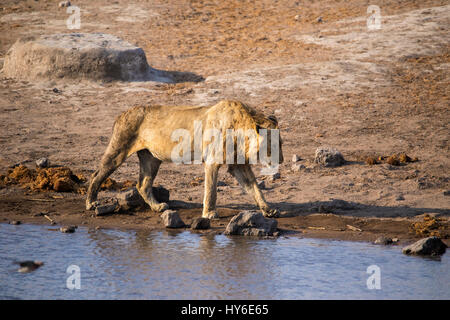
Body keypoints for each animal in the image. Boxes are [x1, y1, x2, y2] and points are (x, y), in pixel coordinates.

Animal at [87, 100, 284, 220]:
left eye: (281, 143)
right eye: (274, 145)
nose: (281, 160)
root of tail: (121, 114)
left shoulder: (238, 164)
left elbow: (254, 188)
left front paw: (268, 209)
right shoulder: (212, 161)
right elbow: (211, 191)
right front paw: (209, 214)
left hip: (151, 158)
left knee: (142, 184)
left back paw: (158, 207)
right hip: (119, 149)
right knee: (96, 175)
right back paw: (91, 203)